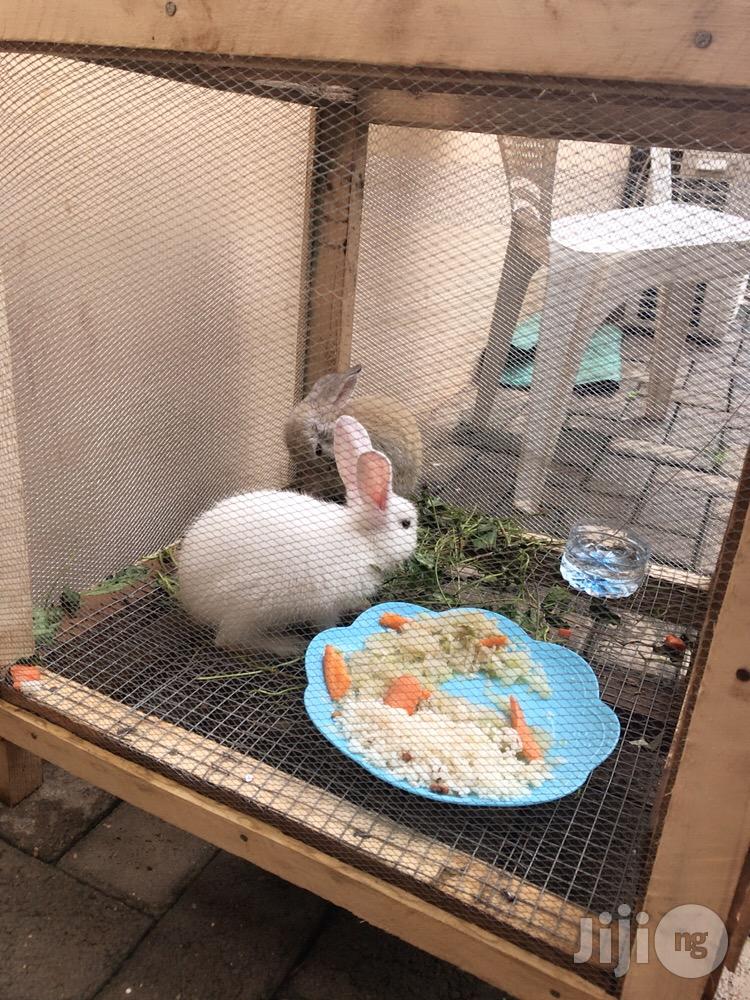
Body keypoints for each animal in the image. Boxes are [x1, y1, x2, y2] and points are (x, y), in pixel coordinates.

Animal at [178, 415, 418, 657]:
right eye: (406, 524)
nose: (416, 537)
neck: (365, 539)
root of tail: (189, 595)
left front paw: (362, 604)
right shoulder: (326, 603)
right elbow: (325, 623)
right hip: (252, 606)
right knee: (230, 640)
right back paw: (287, 644)